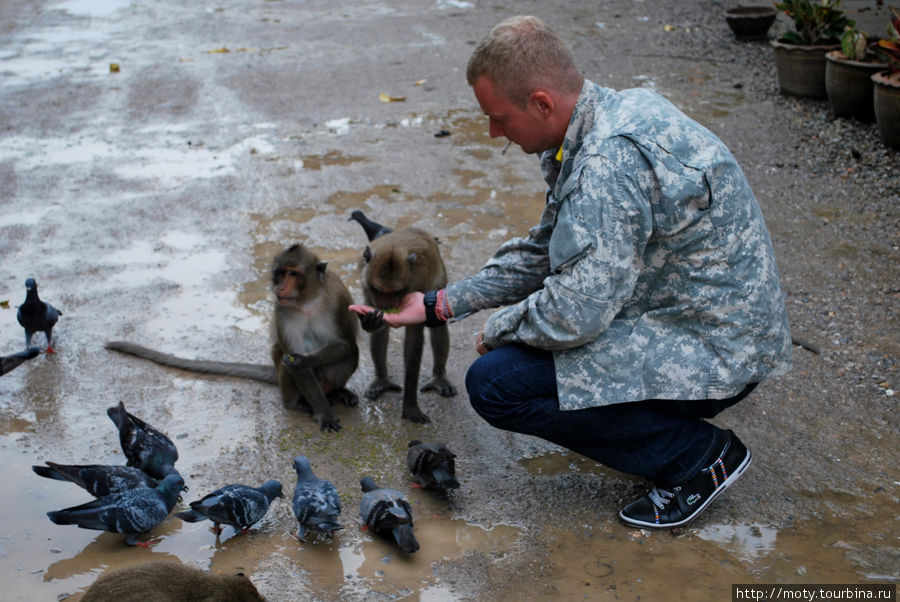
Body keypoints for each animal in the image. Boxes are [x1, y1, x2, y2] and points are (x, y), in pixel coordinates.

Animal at [106, 243, 358, 432]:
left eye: (292, 273)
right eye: (280, 273)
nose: (280, 287)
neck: (306, 301)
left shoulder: (338, 297)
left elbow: (344, 344)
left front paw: (306, 360)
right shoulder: (282, 310)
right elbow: (293, 358)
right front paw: (323, 414)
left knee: (352, 352)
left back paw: (337, 391)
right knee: (279, 352)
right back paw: (297, 403)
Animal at [346, 210, 454, 422]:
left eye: (396, 292)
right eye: (378, 290)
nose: (386, 305)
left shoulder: (418, 287)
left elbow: (414, 341)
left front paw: (410, 406)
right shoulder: (366, 284)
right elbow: (377, 326)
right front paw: (371, 322)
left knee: (438, 326)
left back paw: (439, 377)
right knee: (381, 335)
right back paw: (381, 380)